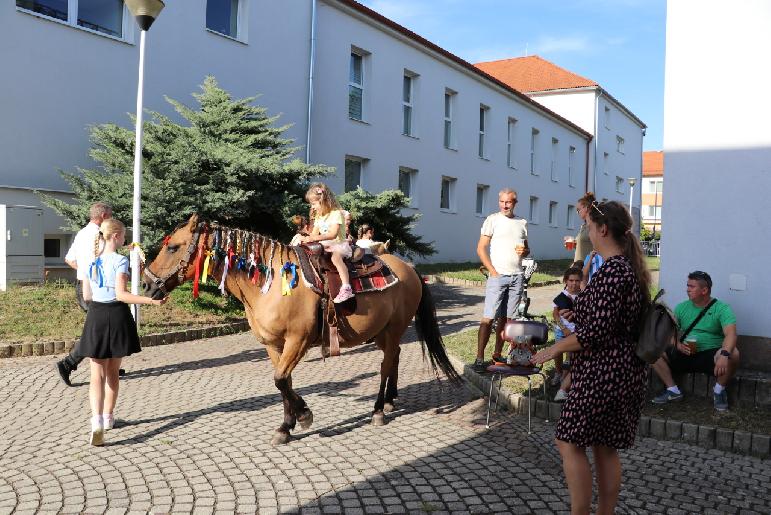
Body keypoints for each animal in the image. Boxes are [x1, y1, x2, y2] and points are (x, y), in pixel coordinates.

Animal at [142, 216, 462, 446]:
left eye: (173, 246)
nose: (146, 284)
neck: (271, 283)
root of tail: (408, 268)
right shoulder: (273, 345)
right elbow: (284, 382)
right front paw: (288, 426)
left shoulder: (298, 341)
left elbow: (281, 380)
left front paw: (303, 416)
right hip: (383, 332)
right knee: (393, 358)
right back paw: (391, 400)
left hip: (394, 328)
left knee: (385, 365)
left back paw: (378, 410)